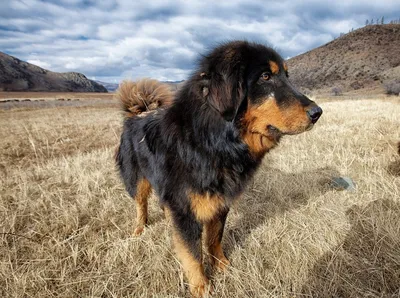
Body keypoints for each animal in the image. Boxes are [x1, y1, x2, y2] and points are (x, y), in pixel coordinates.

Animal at [115, 40, 322, 296]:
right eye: (265, 76)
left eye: (286, 75)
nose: (317, 113)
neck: (211, 141)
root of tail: (138, 111)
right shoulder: (185, 210)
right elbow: (193, 255)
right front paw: (202, 287)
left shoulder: (219, 201)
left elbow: (214, 238)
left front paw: (222, 265)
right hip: (137, 179)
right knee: (140, 205)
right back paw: (139, 229)